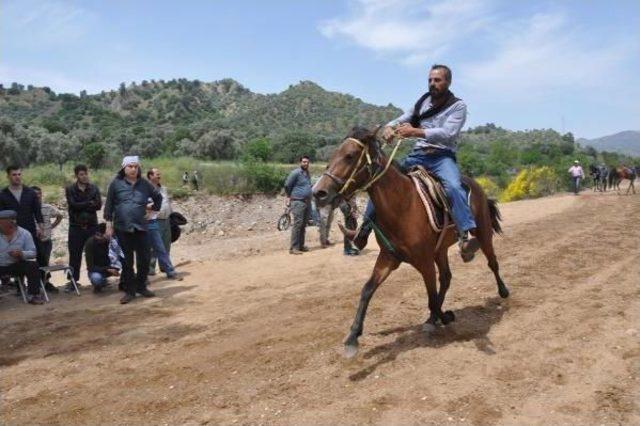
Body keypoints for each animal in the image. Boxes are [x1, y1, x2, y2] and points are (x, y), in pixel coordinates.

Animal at [312, 126, 508, 356]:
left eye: (350, 155)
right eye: (334, 153)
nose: (318, 193)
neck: (403, 206)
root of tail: (475, 185)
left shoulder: (424, 262)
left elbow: (431, 297)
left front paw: (444, 317)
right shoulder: (388, 258)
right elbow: (367, 290)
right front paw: (352, 338)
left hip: (483, 232)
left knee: (492, 262)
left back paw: (501, 290)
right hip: (440, 250)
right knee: (446, 277)